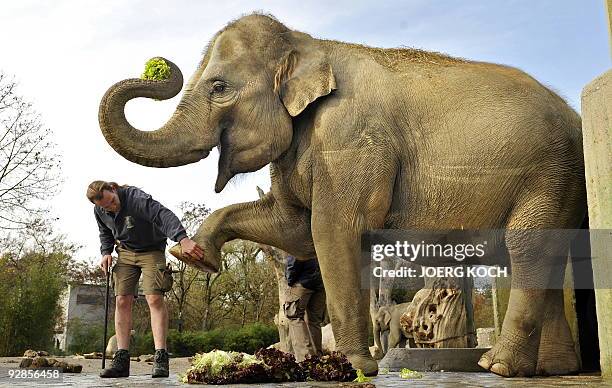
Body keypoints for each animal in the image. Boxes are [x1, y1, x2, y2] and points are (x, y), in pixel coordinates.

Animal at [100, 14, 588, 376]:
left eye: (218, 87)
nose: (159, 66)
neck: (308, 44)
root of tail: (576, 117)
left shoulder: (350, 141)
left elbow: (331, 230)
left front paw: (352, 367)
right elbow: (293, 228)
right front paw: (197, 255)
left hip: (549, 173)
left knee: (527, 249)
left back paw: (498, 367)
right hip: (561, 180)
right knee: (542, 259)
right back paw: (549, 370)